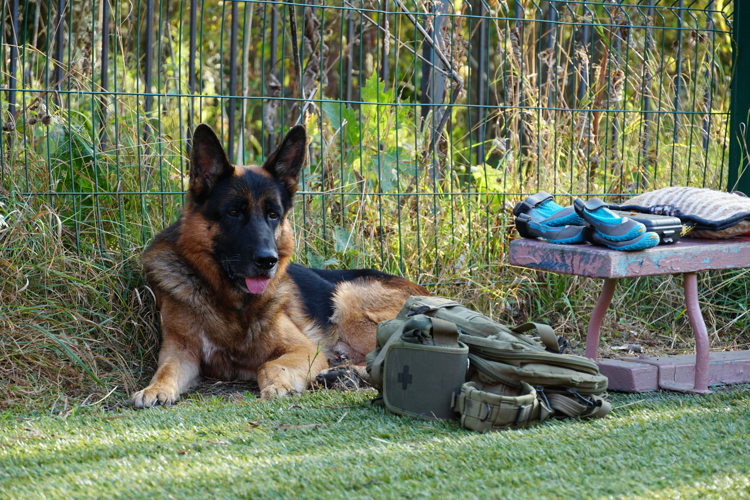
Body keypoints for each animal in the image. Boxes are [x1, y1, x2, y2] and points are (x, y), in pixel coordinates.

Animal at [134, 124, 428, 406]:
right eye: (233, 212)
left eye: (273, 215)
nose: (268, 260)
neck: (229, 302)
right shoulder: (181, 350)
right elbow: (166, 370)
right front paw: (155, 389)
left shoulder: (305, 350)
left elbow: (268, 365)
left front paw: (279, 386)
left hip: (349, 299)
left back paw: (344, 374)